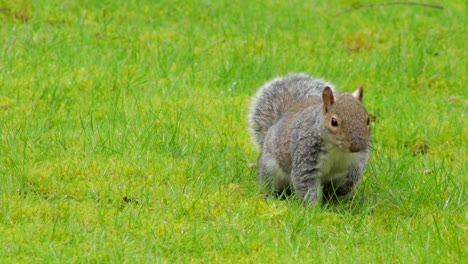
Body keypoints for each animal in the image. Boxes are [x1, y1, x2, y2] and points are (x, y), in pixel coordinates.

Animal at [247, 73, 372, 205]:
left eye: (368, 120)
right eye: (334, 122)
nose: (356, 146)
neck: (337, 149)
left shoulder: (356, 162)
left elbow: (352, 178)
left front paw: (342, 198)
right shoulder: (306, 156)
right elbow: (305, 183)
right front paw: (312, 207)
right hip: (270, 168)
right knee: (268, 183)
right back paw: (269, 196)